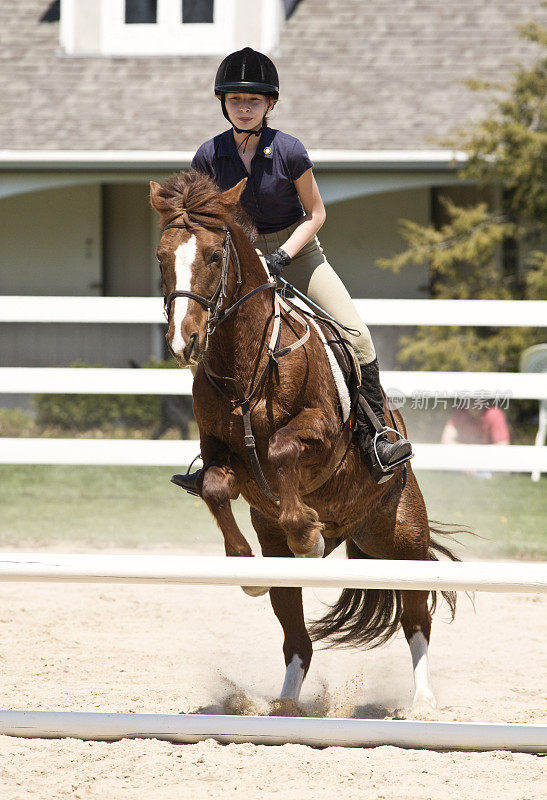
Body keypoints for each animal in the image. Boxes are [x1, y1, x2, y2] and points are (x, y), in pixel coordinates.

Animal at [150, 172, 458, 708]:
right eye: (161, 258)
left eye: (213, 256)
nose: (183, 342)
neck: (245, 361)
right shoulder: (218, 451)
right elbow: (215, 487)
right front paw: (243, 566)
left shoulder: (323, 435)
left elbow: (282, 448)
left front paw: (306, 534)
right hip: (294, 548)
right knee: (297, 638)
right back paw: (285, 703)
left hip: (401, 536)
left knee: (416, 618)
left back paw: (422, 703)